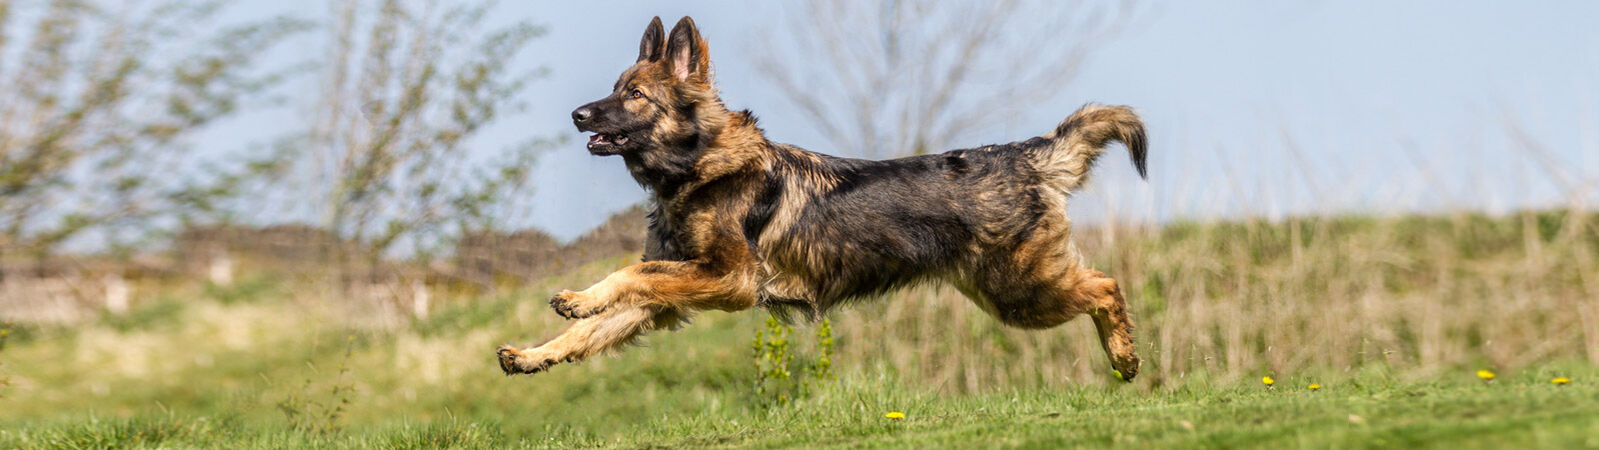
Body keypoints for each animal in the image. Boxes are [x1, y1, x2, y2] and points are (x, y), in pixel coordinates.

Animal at [492, 17, 1144, 379]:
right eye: (613, 89)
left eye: (633, 95)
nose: (576, 116)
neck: (700, 167)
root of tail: (1025, 154)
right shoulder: (673, 291)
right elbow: (598, 323)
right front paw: (537, 351)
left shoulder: (728, 279)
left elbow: (632, 272)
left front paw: (580, 297)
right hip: (1007, 292)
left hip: (1020, 290)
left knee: (1107, 286)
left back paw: (1124, 356)